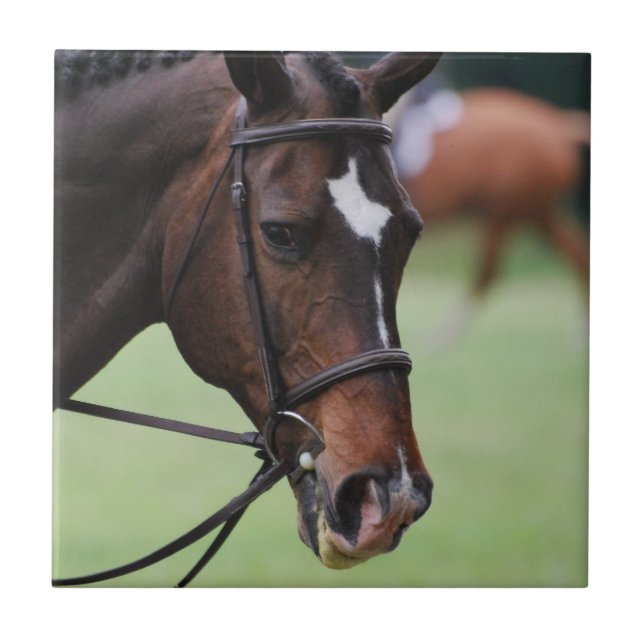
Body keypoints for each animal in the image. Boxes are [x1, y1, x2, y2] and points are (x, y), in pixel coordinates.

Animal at [388, 86, 590, 345]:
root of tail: (558, 124)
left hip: (504, 214)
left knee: (487, 273)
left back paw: (442, 336)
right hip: (539, 212)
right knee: (578, 256)